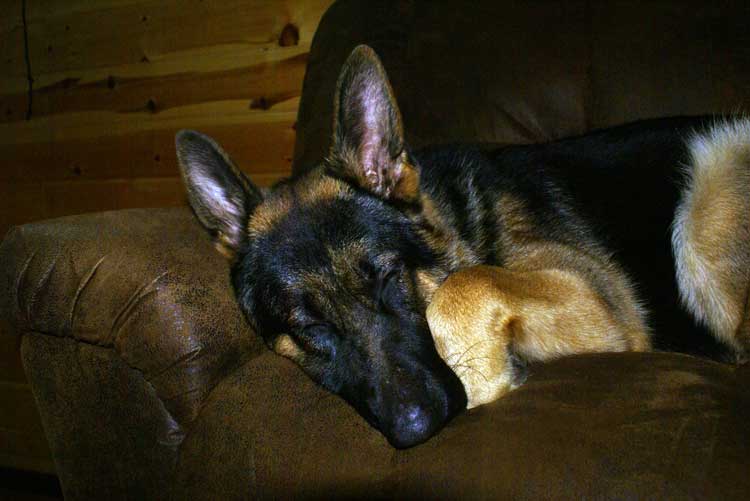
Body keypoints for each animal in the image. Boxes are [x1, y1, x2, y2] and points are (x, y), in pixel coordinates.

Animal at [176, 45, 750, 448]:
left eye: (388, 278)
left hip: (712, 174)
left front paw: (480, 375)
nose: (417, 427)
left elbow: (465, 286)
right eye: (307, 327)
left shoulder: (600, 303)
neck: (454, 225)